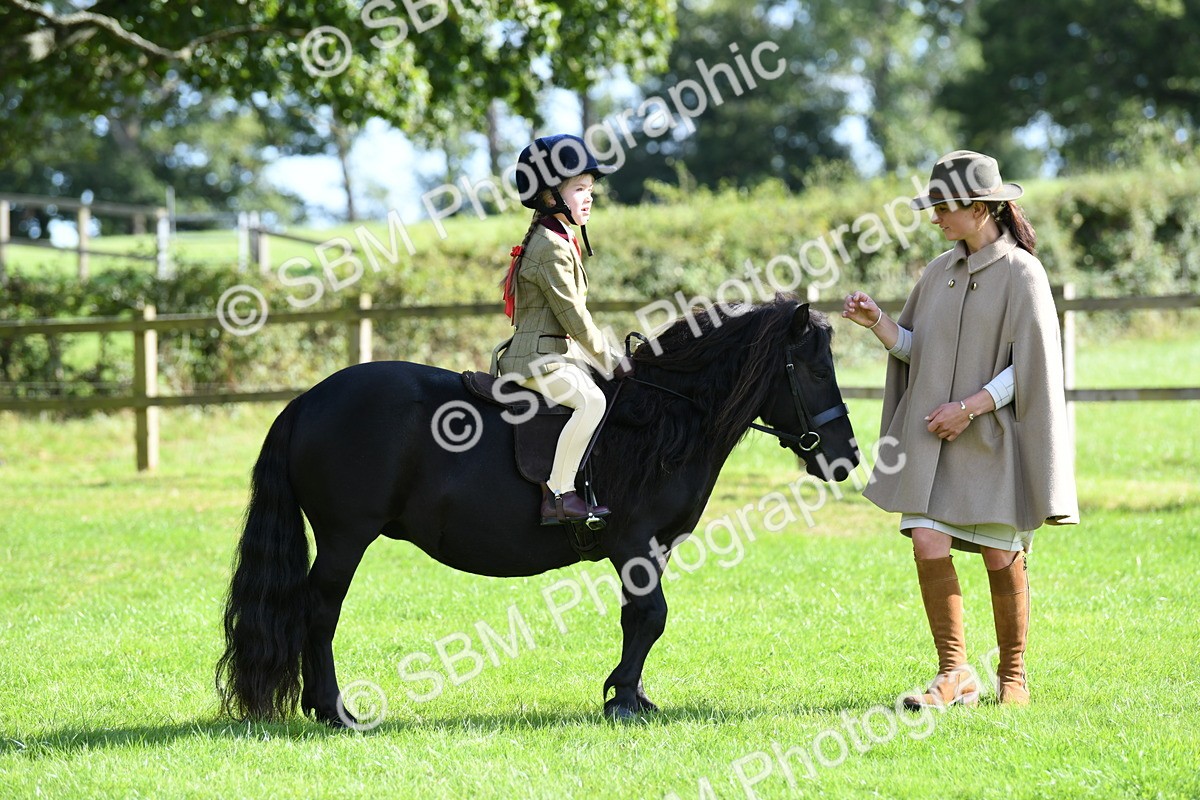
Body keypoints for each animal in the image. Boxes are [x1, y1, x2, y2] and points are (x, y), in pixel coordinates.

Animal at [216, 295, 860, 725]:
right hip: (346, 536)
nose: (847, 458)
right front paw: (624, 700)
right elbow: (650, 616)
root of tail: (307, 400)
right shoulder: (633, 542)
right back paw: (334, 710)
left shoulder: (652, 549)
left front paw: (633, 695)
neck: (664, 418)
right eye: (816, 369)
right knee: (320, 612)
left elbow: (642, 619)